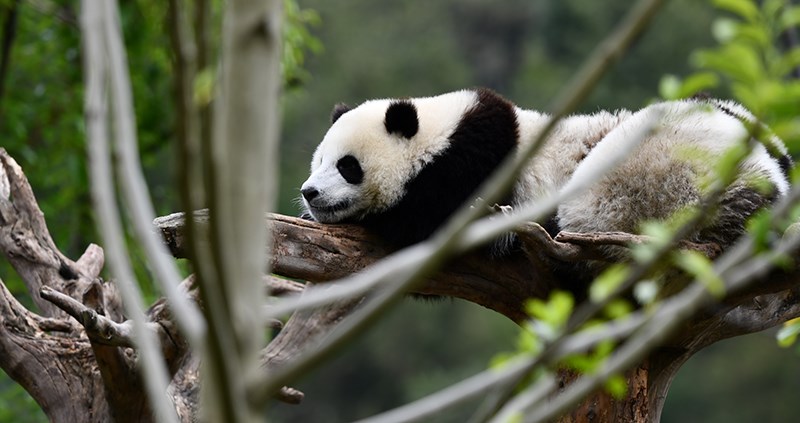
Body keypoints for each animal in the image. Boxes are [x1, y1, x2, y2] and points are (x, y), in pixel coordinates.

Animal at [298, 88, 788, 256]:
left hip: (654, 166)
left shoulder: (475, 159)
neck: (436, 134)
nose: (309, 193)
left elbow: (430, 220)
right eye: (317, 161)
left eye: (347, 166)